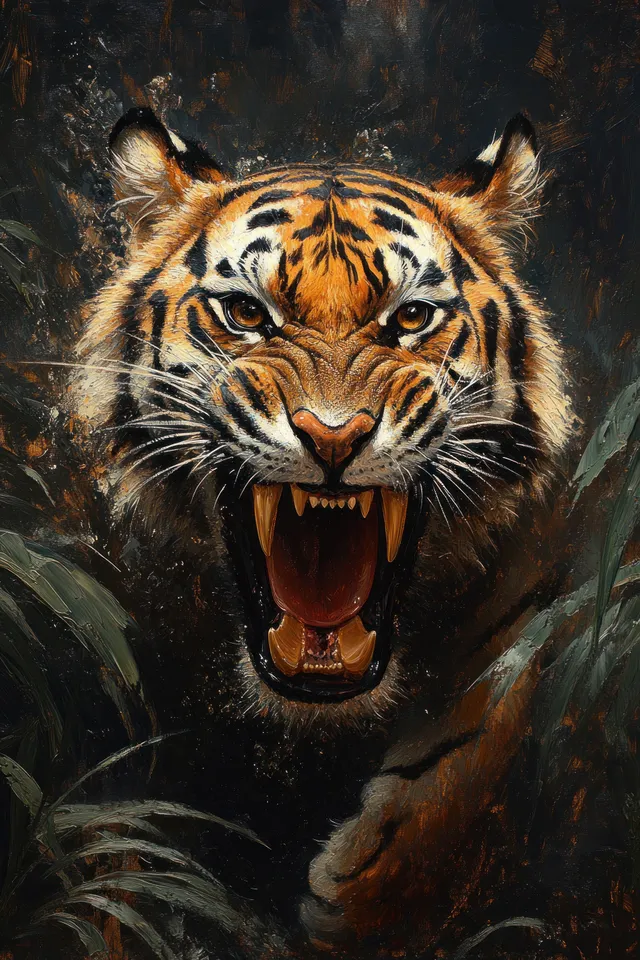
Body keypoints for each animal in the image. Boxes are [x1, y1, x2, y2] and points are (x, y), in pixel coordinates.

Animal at [71, 108, 576, 955]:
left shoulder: (527, 615)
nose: (333, 436)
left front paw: (376, 889)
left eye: (411, 317)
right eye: (247, 314)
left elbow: (480, 730)